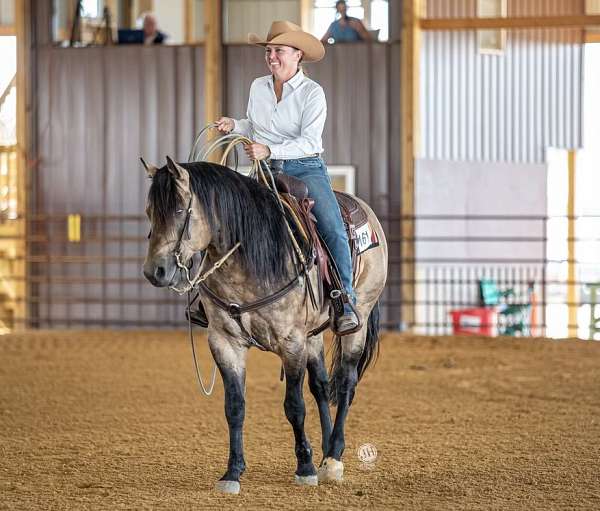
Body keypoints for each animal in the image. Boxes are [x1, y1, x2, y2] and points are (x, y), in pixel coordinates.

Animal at [142, 157, 390, 496]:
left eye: (180, 210)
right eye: (149, 211)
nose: (154, 271)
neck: (250, 257)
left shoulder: (291, 342)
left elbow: (294, 406)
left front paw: (305, 468)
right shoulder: (224, 342)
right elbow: (234, 406)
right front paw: (232, 472)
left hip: (359, 319)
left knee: (347, 383)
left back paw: (334, 458)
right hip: (313, 335)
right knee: (321, 386)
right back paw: (326, 452)